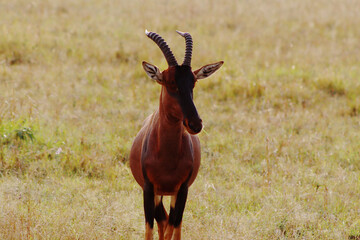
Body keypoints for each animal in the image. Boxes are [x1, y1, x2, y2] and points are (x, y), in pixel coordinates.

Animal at [130, 30, 222, 240]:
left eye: (193, 82)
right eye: (170, 82)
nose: (195, 124)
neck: (167, 156)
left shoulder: (182, 189)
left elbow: (174, 227)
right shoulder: (148, 189)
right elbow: (150, 229)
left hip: (172, 194)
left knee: (170, 223)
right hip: (159, 194)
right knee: (162, 220)